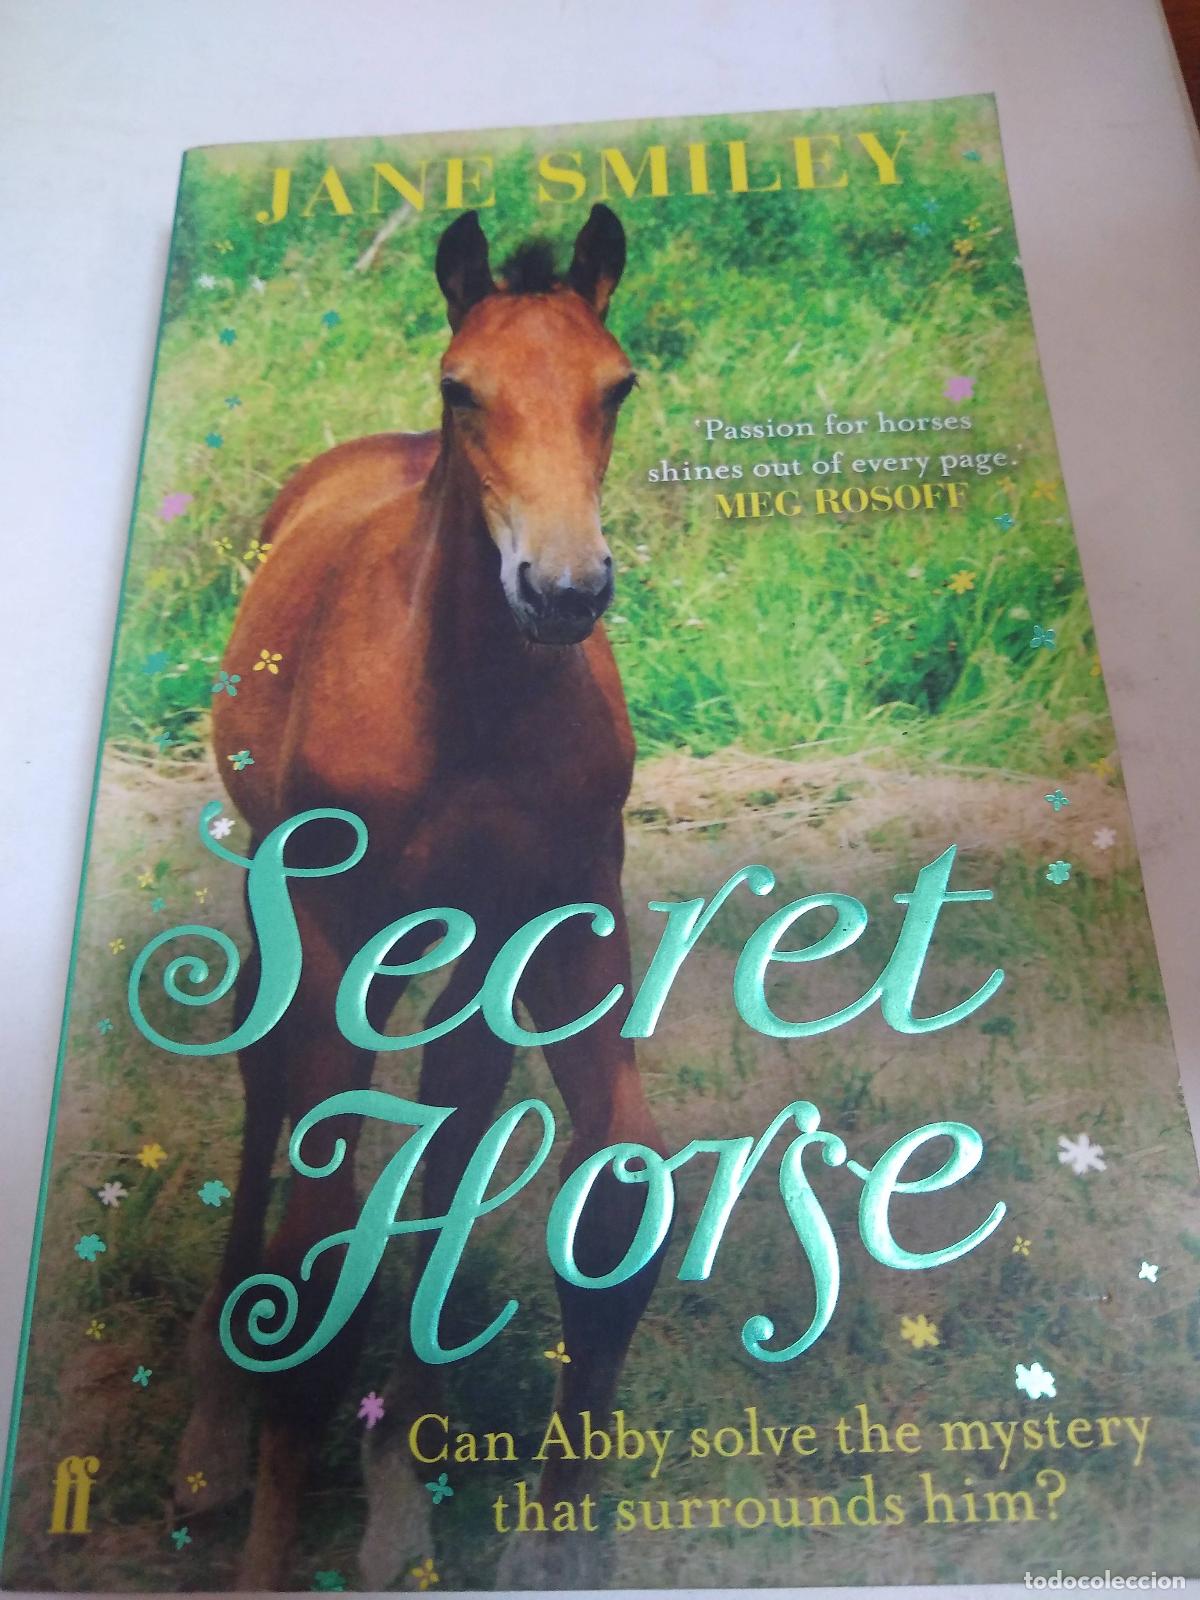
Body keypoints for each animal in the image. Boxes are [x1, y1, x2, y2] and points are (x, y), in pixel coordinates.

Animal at [175, 203, 665, 1589]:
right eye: (462, 389)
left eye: (617, 385)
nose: (564, 589)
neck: (470, 701)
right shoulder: (336, 934)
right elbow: (315, 1252)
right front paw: (269, 1536)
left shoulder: (555, 915)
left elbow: (609, 1208)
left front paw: (538, 1532)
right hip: (296, 912)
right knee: (267, 1092)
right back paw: (209, 1435)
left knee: (451, 1117)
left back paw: (400, 1474)